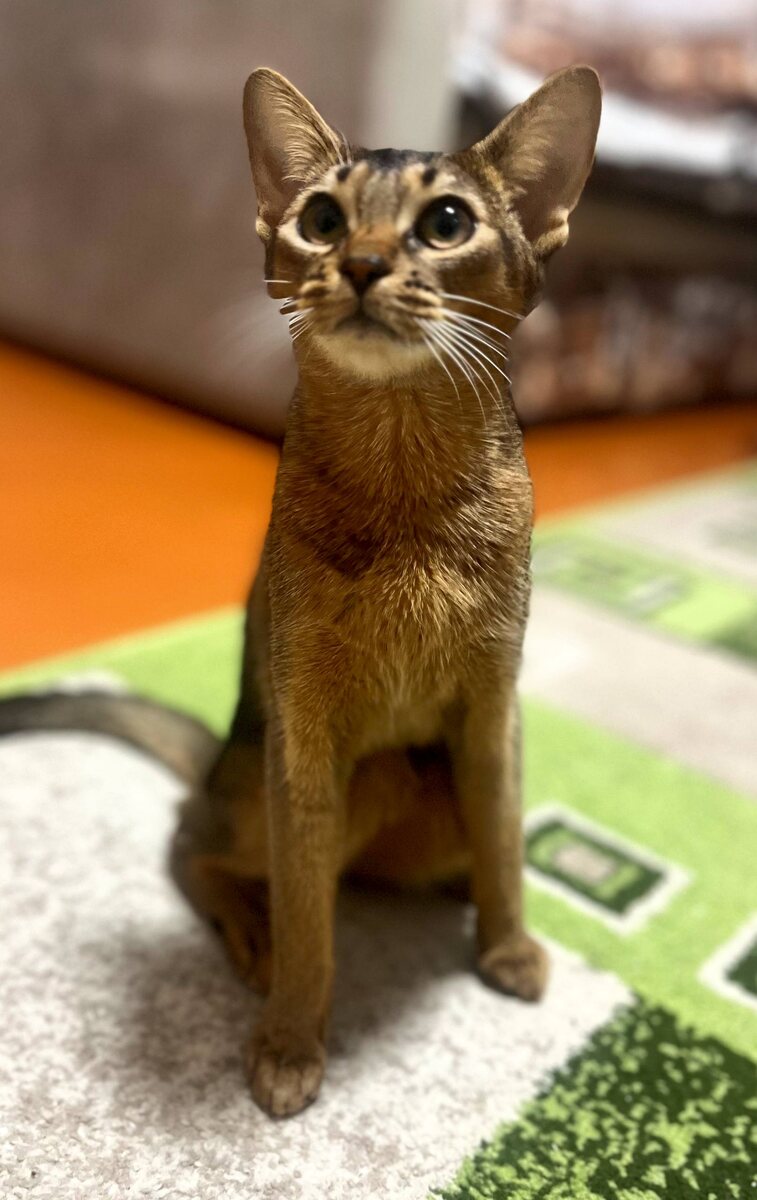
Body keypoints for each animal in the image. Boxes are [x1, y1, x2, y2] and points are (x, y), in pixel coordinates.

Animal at [0, 65, 601, 1117]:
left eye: (447, 222)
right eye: (321, 218)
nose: (358, 263)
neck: (405, 495)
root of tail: (215, 758)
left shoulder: (494, 712)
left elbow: (503, 841)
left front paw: (508, 945)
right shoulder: (308, 732)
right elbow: (311, 921)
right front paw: (289, 1044)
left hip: (421, 776)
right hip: (315, 773)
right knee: (191, 840)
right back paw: (250, 927)